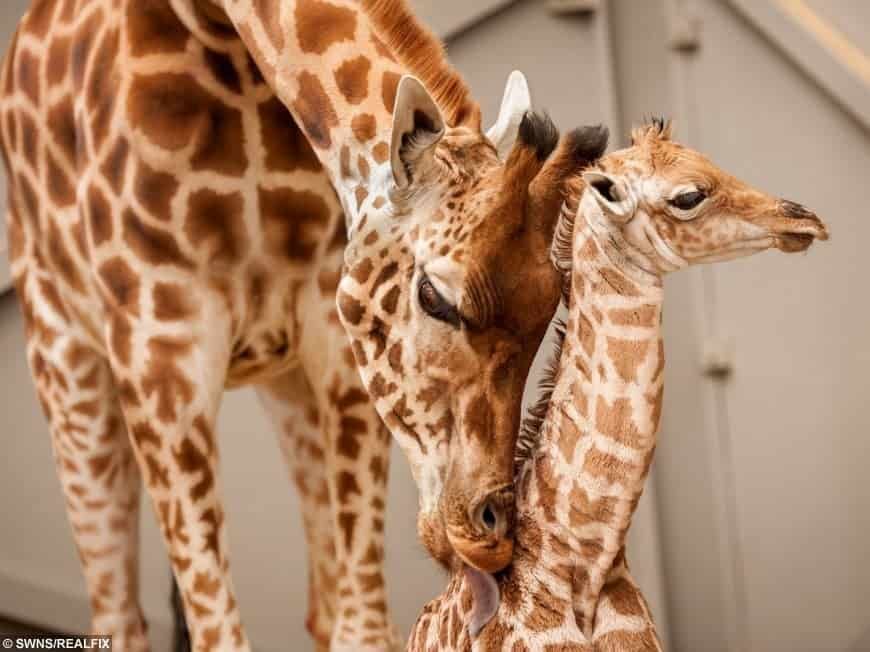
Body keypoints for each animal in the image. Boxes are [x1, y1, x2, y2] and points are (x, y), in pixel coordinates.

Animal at [0, 1, 576, 652]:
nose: (491, 537)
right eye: (434, 295)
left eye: (550, 307)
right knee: (116, 616)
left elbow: (360, 623)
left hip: (287, 385)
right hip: (65, 368)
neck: (213, 26)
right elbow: (220, 630)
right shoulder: (159, 352)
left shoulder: (333, 331)